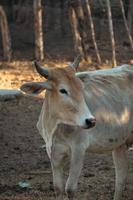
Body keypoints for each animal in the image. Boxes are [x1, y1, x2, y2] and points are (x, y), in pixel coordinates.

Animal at [20, 56, 133, 200]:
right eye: (63, 90)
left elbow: (70, 189)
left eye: (81, 88)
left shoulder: (79, 148)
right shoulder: (53, 152)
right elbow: (58, 188)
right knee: (121, 176)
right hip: (120, 144)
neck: (55, 127)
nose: (91, 120)